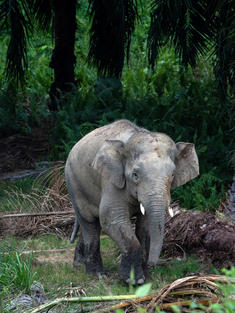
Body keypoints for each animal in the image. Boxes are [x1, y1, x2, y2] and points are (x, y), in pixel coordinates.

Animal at [64, 119, 198, 282]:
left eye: (172, 175)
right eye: (135, 175)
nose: (152, 264)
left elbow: (144, 227)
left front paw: (147, 279)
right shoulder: (112, 181)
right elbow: (112, 220)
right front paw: (133, 280)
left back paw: (78, 266)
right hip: (74, 183)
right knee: (90, 223)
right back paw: (97, 275)